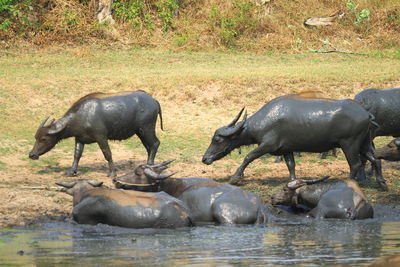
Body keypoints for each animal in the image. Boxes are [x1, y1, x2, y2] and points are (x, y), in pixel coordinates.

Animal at [28, 90, 163, 178]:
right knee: (148, 147)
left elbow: (107, 153)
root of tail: (153, 100)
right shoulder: (79, 138)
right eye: (36, 137)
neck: (82, 116)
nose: (32, 155)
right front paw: (71, 171)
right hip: (139, 131)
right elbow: (77, 155)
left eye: (43, 139)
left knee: (155, 143)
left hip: (147, 128)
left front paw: (112, 173)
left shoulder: (101, 137)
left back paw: (150, 165)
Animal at [202, 94, 386, 191]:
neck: (265, 121)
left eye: (217, 139)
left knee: (355, 164)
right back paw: (381, 182)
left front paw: (235, 177)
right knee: (375, 159)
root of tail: (366, 113)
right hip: (364, 143)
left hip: (350, 144)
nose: (205, 158)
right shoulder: (286, 149)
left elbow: (248, 157)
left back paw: (346, 183)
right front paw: (293, 182)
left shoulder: (267, 145)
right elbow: (291, 165)